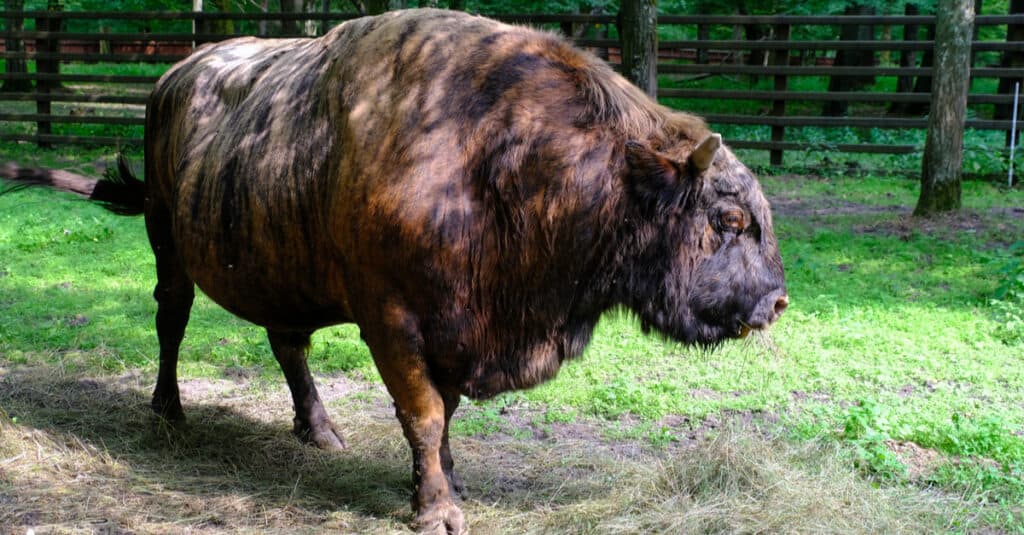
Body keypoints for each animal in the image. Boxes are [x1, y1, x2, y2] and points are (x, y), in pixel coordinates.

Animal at [2, 9, 787, 534]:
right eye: (728, 219)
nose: (776, 302)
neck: (502, 159)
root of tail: (173, 75)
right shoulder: (395, 322)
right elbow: (424, 413)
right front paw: (437, 510)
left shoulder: (459, 329)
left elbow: (446, 415)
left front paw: (447, 485)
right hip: (167, 238)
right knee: (171, 317)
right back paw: (168, 409)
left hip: (278, 267)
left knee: (287, 344)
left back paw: (319, 430)